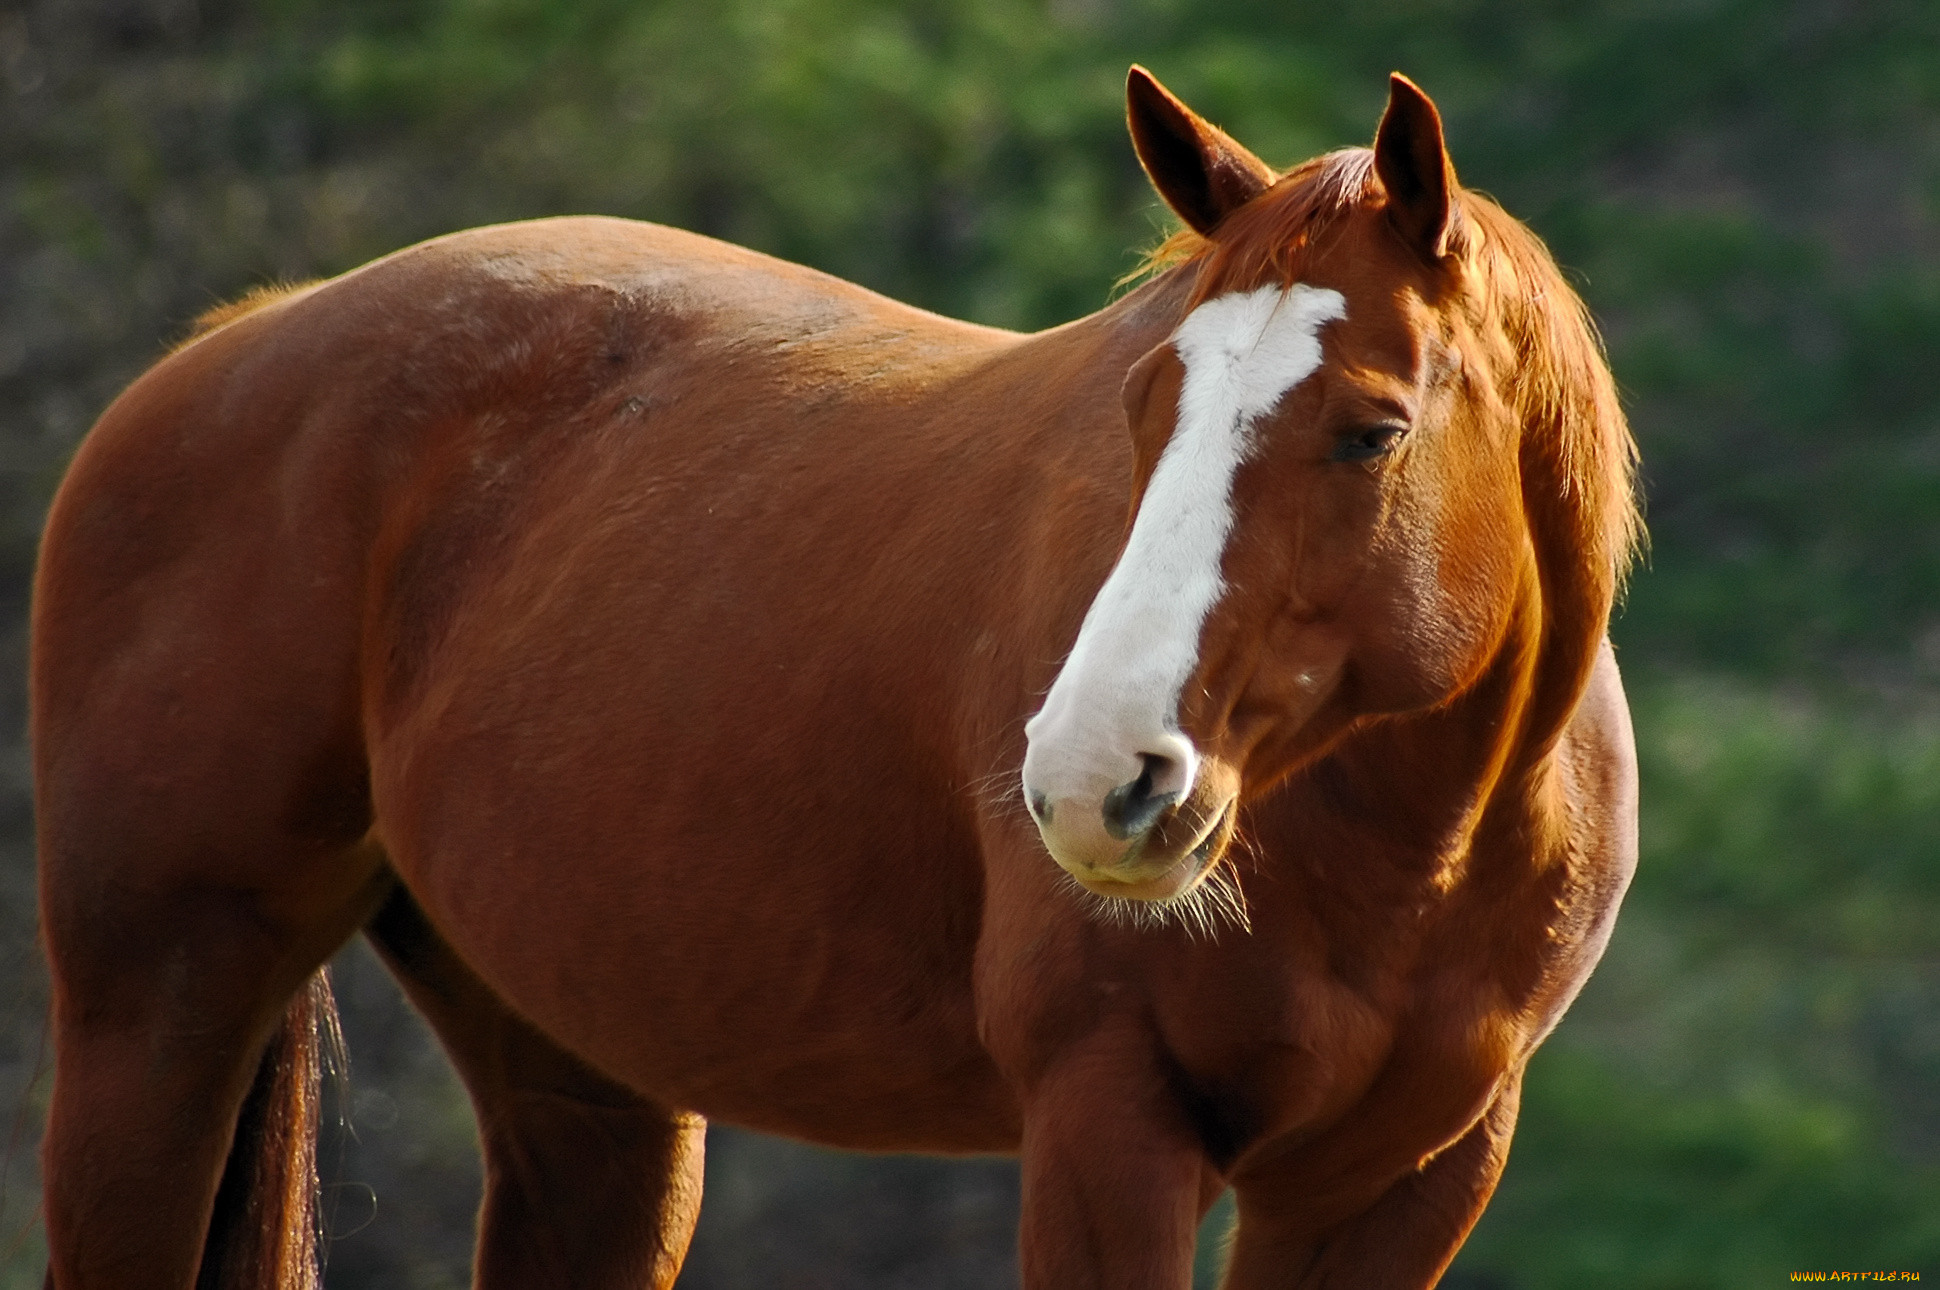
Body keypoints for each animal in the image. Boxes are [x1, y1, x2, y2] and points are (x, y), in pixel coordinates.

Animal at [34, 70, 1637, 1288]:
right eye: (1144, 402)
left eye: (1371, 429)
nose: (1092, 778)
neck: (1400, 856)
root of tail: (245, 334)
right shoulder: (1108, 1125)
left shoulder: (1393, 1185)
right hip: (154, 1012)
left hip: (585, 1089)